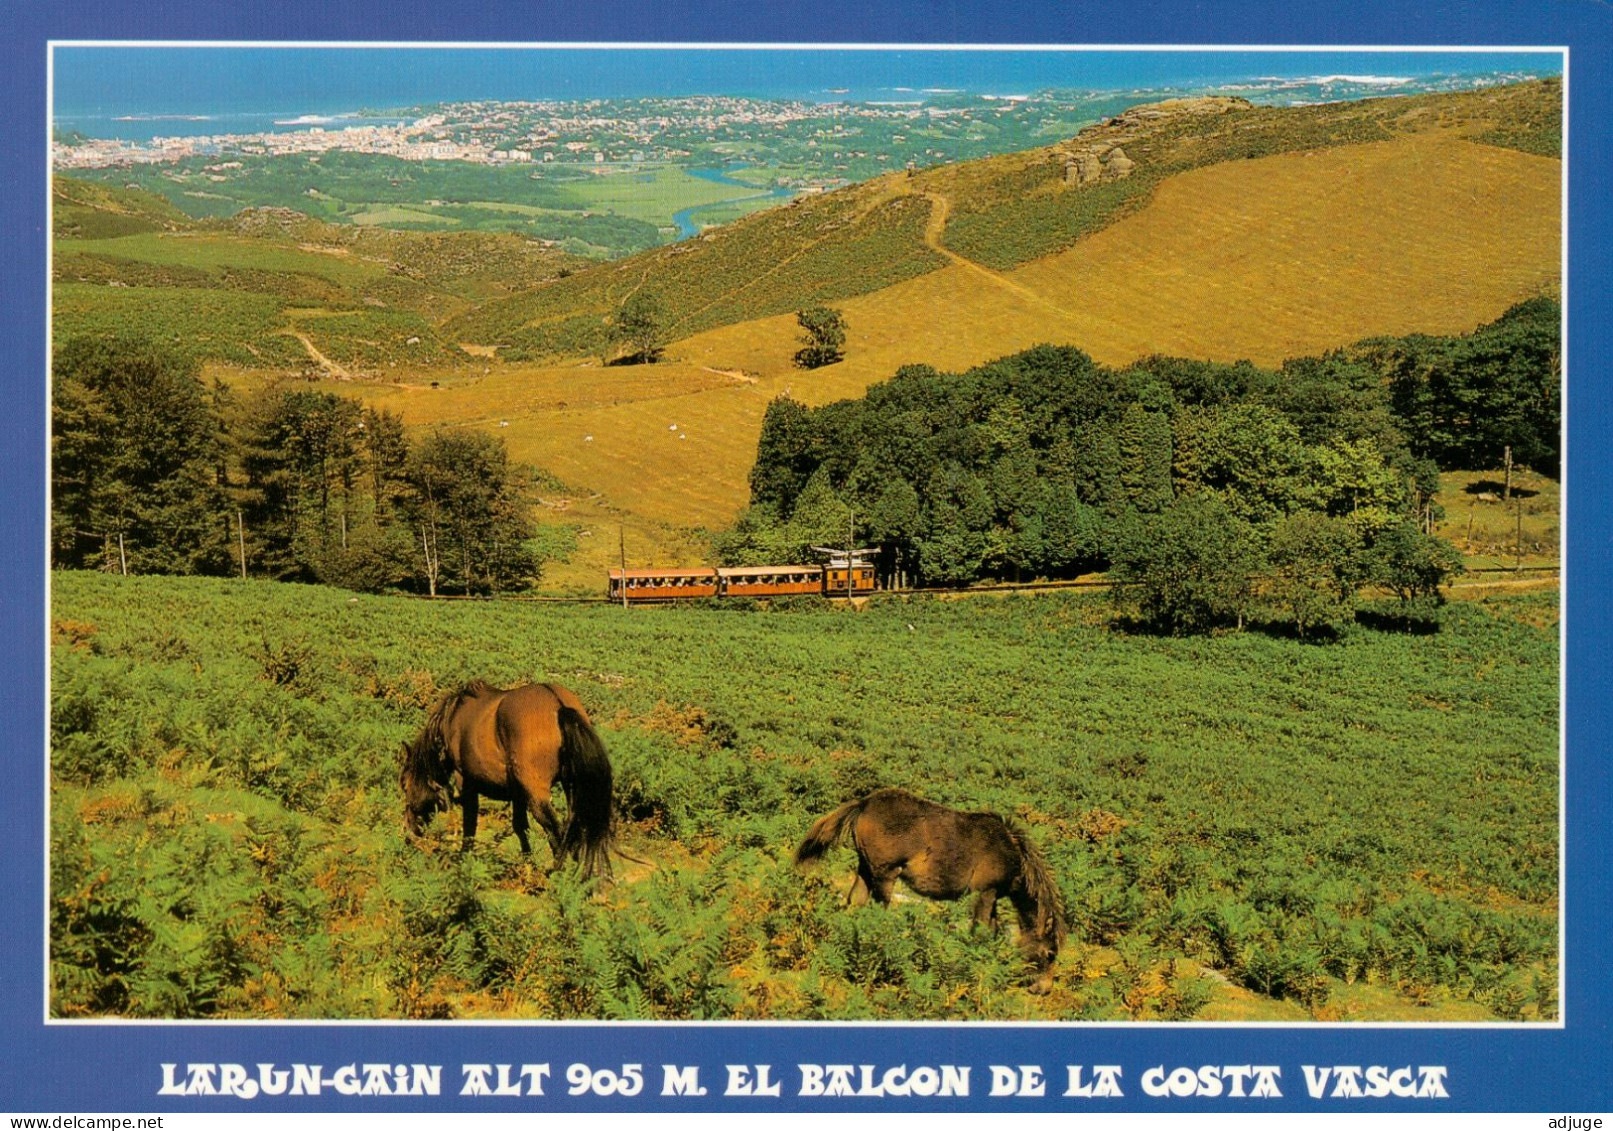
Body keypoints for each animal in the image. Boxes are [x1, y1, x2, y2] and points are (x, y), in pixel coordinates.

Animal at [400, 674, 612, 877]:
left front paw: (464, 859)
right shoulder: (518, 792)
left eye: (405, 785)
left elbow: (470, 823)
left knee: (555, 831)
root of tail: (559, 705)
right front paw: (528, 864)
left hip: (538, 796)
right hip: (570, 790)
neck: (452, 719)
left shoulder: (466, 781)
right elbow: (520, 826)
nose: (410, 828)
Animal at [796, 784, 1071, 987]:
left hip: (865, 869)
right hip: (885, 875)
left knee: (855, 904)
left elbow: (992, 931)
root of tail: (864, 803)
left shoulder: (991, 896)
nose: (1044, 990)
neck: (1010, 850)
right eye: (1050, 954)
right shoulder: (986, 892)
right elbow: (981, 931)